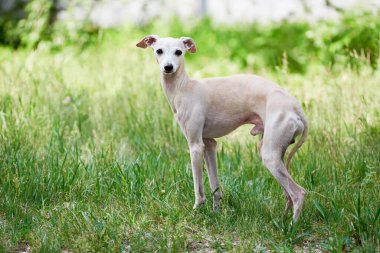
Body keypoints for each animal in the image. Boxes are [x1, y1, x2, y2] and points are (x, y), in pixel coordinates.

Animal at [137, 35, 308, 221]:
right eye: (159, 51)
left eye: (179, 52)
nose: (168, 68)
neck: (183, 88)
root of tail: (295, 107)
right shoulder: (209, 144)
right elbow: (215, 186)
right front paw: (216, 212)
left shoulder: (196, 146)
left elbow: (198, 188)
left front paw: (196, 211)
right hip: (272, 152)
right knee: (288, 194)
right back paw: (282, 219)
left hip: (270, 156)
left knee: (299, 193)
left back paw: (292, 226)